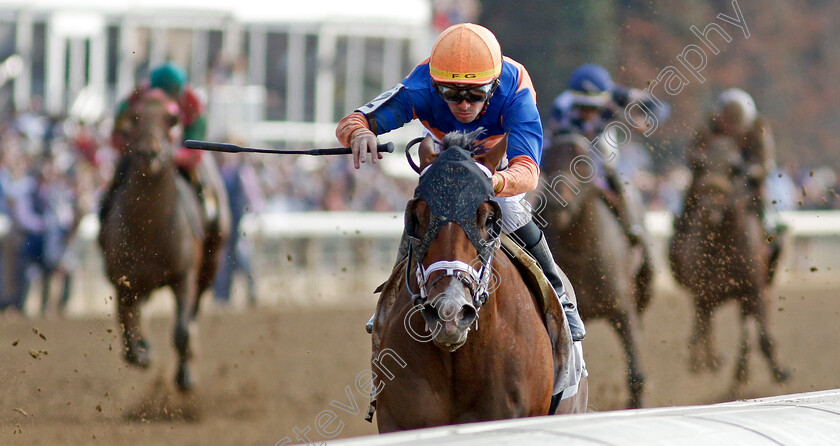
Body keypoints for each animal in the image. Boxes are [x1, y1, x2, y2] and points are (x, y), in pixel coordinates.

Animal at [97, 88, 230, 390]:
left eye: (173, 119)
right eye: (135, 117)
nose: (149, 152)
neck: (149, 231)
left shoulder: (184, 277)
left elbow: (181, 331)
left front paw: (185, 376)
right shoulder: (123, 281)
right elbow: (127, 331)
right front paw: (142, 352)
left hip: (210, 264)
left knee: (194, 311)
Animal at [668, 136, 792, 386]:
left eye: (735, 169)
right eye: (699, 166)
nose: (711, 205)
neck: (721, 248)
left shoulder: (753, 291)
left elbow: (761, 335)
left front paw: (778, 373)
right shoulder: (703, 295)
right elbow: (705, 331)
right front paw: (709, 362)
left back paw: (741, 372)